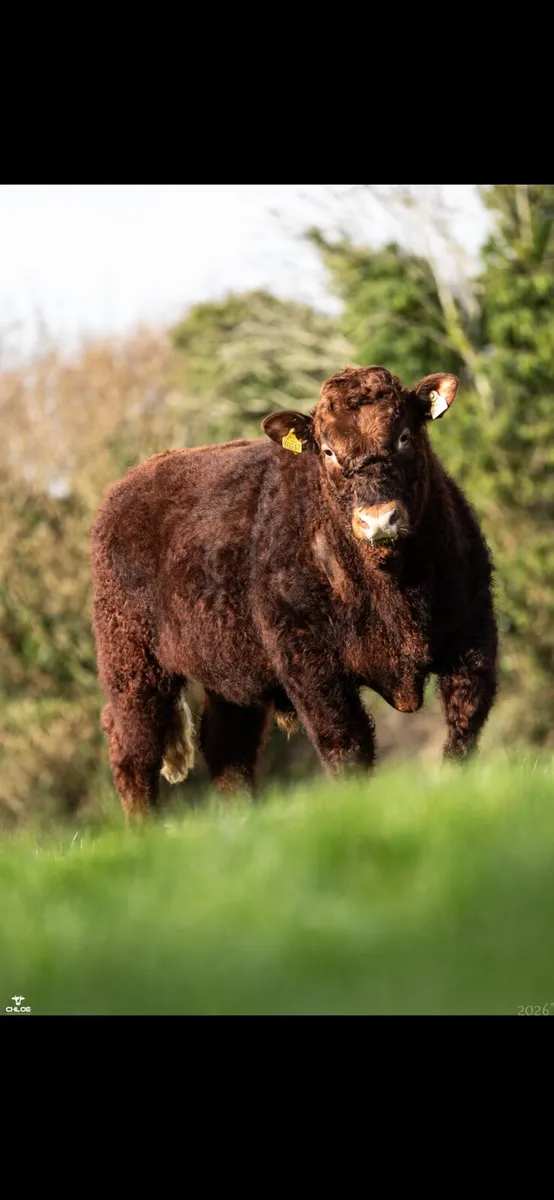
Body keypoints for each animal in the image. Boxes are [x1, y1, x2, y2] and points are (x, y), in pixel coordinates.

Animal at [91, 365, 498, 820]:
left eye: (404, 436)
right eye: (329, 452)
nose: (378, 520)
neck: (395, 593)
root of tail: (131, 482)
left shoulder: (473, 639)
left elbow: (463, 730)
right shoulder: (311, 666)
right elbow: (346, 747)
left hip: (231, 673)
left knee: (227, 749)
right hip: (131, 664)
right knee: (133, 750)